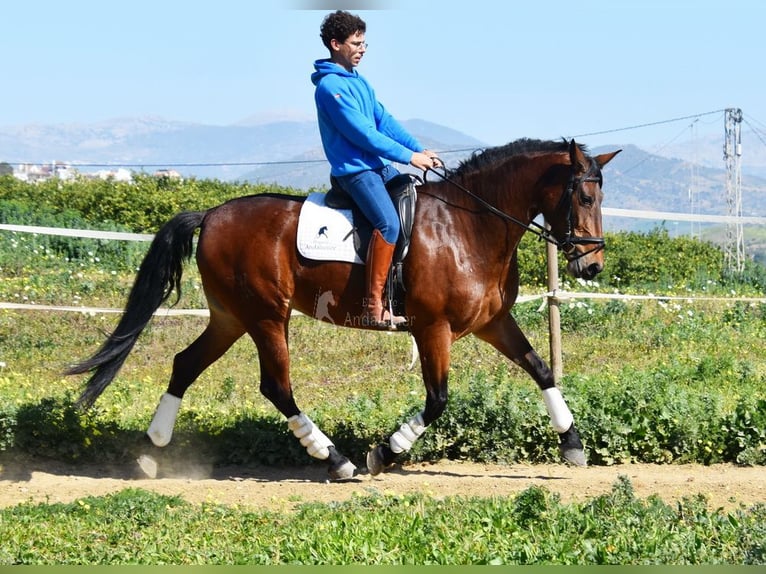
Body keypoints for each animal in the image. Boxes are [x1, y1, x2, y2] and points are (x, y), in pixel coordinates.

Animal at [67, 138, 624, 482]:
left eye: (601, 197)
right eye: (583, 197)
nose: (593, 265)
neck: (470, 226)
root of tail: (212, 213)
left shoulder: (492, 322)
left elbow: (542, 369)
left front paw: (573, 444)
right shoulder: (433, 328)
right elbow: (438, 399)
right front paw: (384, 452)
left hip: (231, 316)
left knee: (185, 364)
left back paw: (151, 450)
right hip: (266, 316)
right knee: (276, 386)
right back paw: (335, 459)